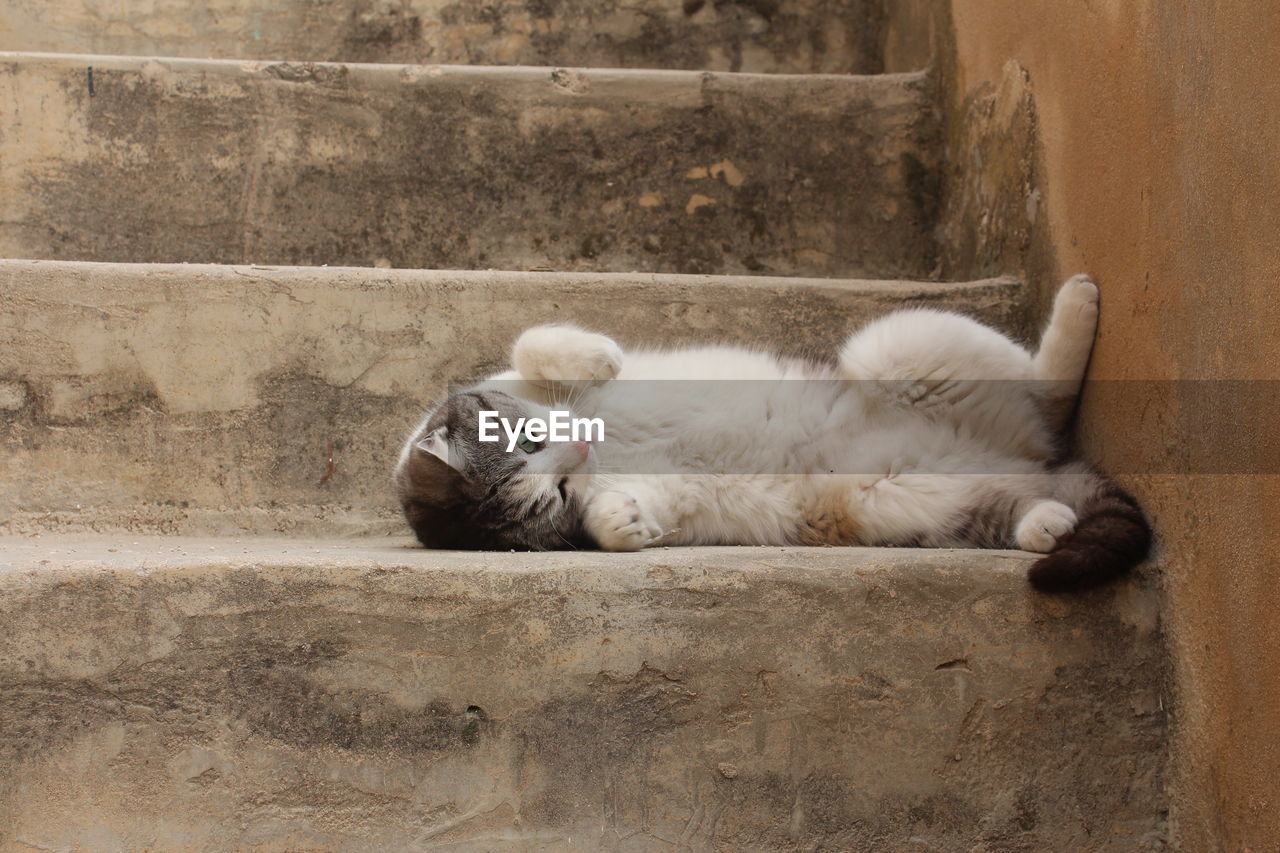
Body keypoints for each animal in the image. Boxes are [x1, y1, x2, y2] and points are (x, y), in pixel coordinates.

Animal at [391, 275, 1152, 589]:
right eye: (552, 500)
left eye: (527, 439)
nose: (579, 449)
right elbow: (621, 518)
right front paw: (622, 523)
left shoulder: (521, 371)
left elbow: (531, 342)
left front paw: (598, 355)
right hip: (900, 506)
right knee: (1019, 495)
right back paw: (1044, 523)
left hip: (896, 344)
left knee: (1048, 388)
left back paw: (1079, 303)